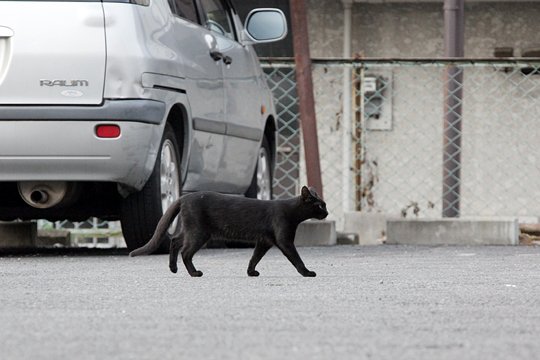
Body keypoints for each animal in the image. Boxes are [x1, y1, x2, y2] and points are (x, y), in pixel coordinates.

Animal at [130, 187, 330, 278]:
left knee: (175, 241)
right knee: (185, 251)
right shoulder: (284, 240)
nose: (327, 213)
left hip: (191, 229)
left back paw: (173, 268)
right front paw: (307, 272)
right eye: (320, 205)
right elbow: (296, 258)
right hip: (199, 232)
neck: (291, 211)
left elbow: (255, 257)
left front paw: (251, 272)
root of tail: (184, 197)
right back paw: (194, 273)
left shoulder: (264, 241)